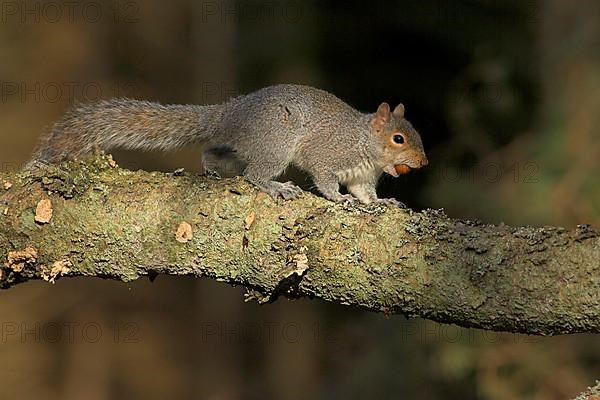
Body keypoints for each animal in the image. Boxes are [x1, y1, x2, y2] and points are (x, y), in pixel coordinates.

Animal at [30, 83, 428, 203]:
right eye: (398, 138)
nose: (423, 163)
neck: (364, 141)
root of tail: (229, 113)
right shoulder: (329, 154)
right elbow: (327, 180)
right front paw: (339, 199)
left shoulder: (362, 176)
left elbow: (366, 193)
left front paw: (381, 203)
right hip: (276, 143)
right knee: (254, 174)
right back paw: (276, 187)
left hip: (243, 147)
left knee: (217, 153)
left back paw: (212, 171)